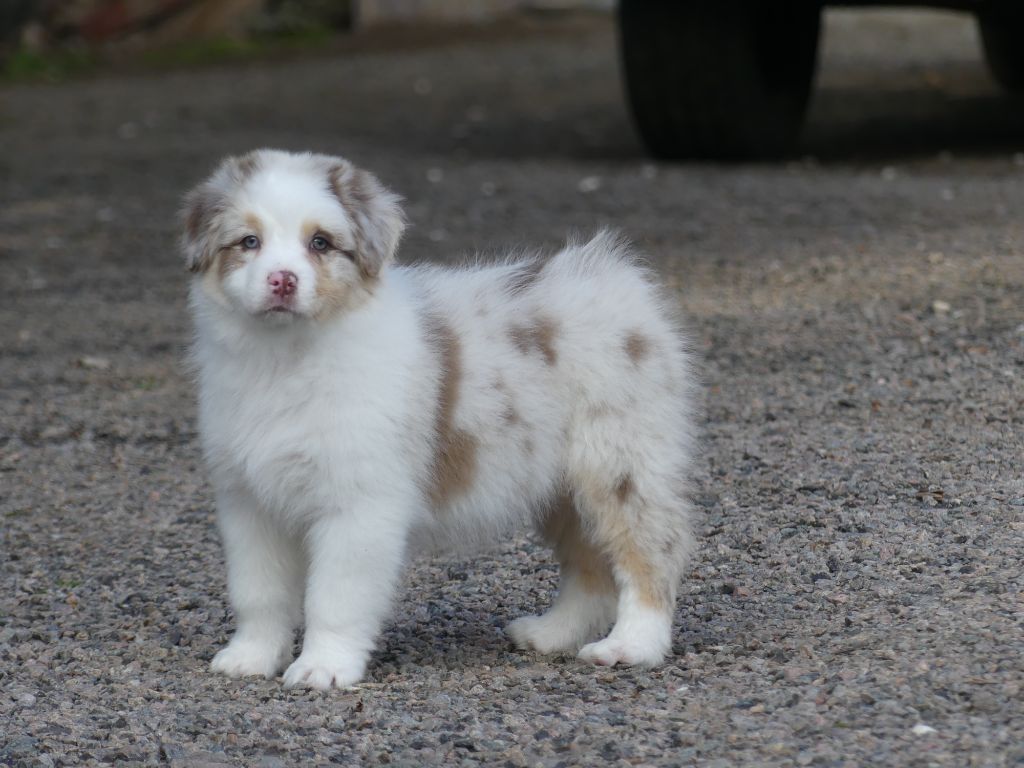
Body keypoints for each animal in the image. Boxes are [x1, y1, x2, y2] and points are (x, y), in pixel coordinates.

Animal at [182, 150, 696, 692]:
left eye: (319, 242)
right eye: (249, 241)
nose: (282, 279)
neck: (284, 359)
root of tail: (616, 280)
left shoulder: (359, 505)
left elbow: (335, 597)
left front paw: (323, 666)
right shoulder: (248, 501)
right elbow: (257, 592)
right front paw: (251, 656)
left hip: (620, 462)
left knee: (650, 551)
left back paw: (632, 646)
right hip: (559, 486)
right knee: (589, 566)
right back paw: (552, 633)